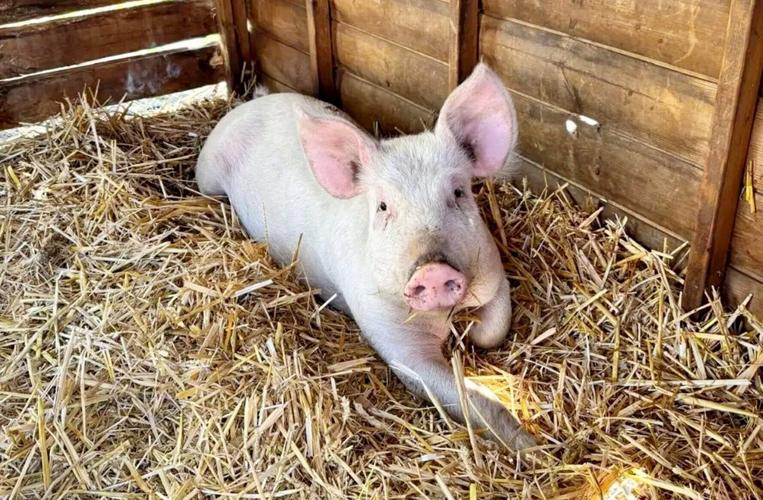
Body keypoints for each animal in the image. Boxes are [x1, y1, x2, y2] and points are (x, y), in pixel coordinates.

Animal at [196, 63, 536, 451]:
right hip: (207, 175)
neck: (440, 317)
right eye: (383, 206)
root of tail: (249, 105)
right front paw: (533, 447)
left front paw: (474, 331)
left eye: (458, 192)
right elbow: (471, 398)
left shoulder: (493, 270)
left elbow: (495, 328)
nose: (432, 270)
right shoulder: (391, 336)